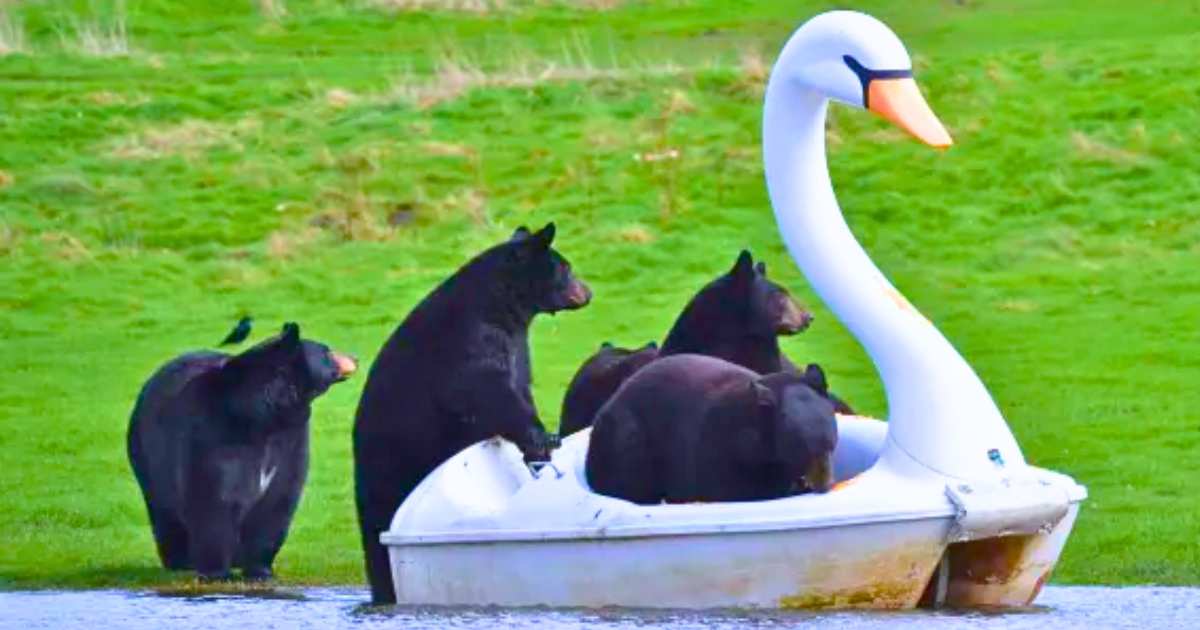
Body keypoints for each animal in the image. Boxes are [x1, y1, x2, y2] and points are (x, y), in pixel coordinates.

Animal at [126, 322, 357, 581]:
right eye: (326, 351)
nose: (354, 358)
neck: (266, 415)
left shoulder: (291, 441)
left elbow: (278, 501)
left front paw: (261, 570)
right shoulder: (216, 435)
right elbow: (215, 500)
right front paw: (217, 572)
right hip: (146, 455)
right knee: (163, 510)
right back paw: (180, 561)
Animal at [353, 222, 591, 604]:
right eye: (566, 267)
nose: (588, 292)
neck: (503, 307)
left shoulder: (516, 347)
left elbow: (520, 387)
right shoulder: (469, 343)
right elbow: (488, 393)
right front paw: (539, 439)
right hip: (387, 473)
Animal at [585, 354, 838, 505]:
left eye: (831, 446)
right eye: (802, 450)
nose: (825, 485)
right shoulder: (720, 452)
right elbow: (740, 491)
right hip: (626, 444)